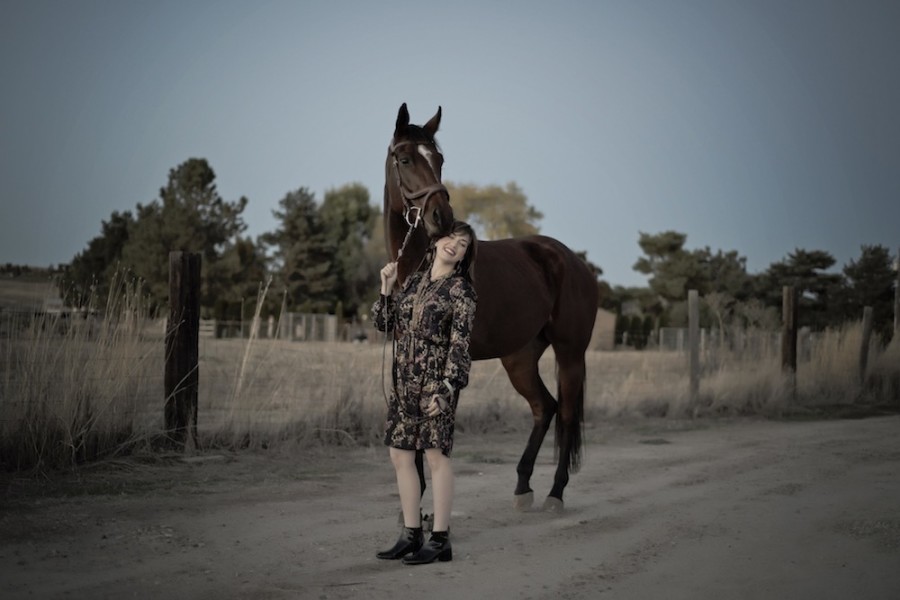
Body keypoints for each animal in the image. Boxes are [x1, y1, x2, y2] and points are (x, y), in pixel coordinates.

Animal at [384, 103, 599, 511]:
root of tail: (573, 261)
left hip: (570, 352)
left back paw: (555, 493)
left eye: (439, 159)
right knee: (543, 407)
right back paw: (523, 486)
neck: (424, 265)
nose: (441, 218)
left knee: (564, 411)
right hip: (520, 357)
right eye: (404, 159)